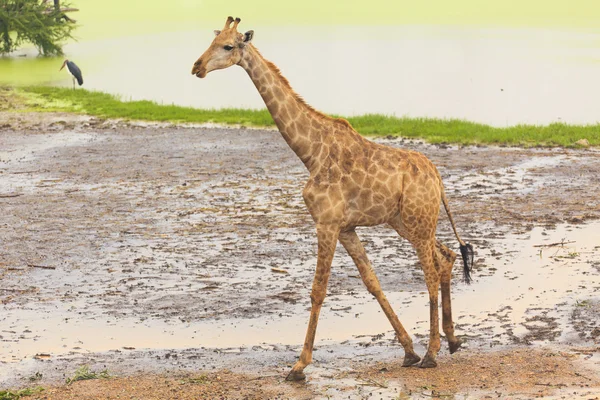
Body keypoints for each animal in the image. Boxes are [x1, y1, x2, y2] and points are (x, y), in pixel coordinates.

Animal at [191, 18, 474, 382]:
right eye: (211, 41)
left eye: (227, 46)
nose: (197, 67)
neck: (310, 153)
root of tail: (437, 177)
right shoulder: (346, 227)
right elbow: (372, 282)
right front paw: (408, 350)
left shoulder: (325, 222)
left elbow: (318, 289)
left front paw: (299, 365)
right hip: (407, 222)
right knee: (448, 257)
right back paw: (452, 341)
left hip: (417, 221)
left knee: (431, 271)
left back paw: (433, 352)